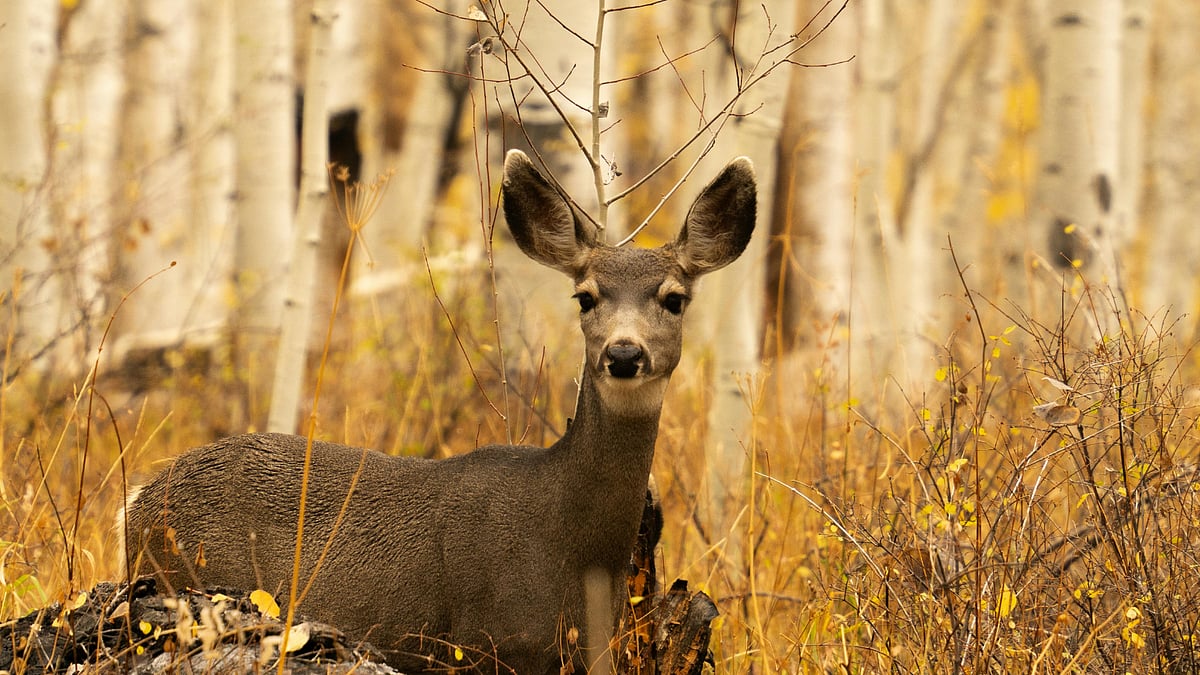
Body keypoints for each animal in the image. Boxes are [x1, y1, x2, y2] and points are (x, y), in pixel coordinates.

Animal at [120, 149, 756, 674]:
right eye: (585, 297)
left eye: (674, 299)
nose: (624, 354)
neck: (570, 544)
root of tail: (137, 503)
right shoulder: (483, 643)